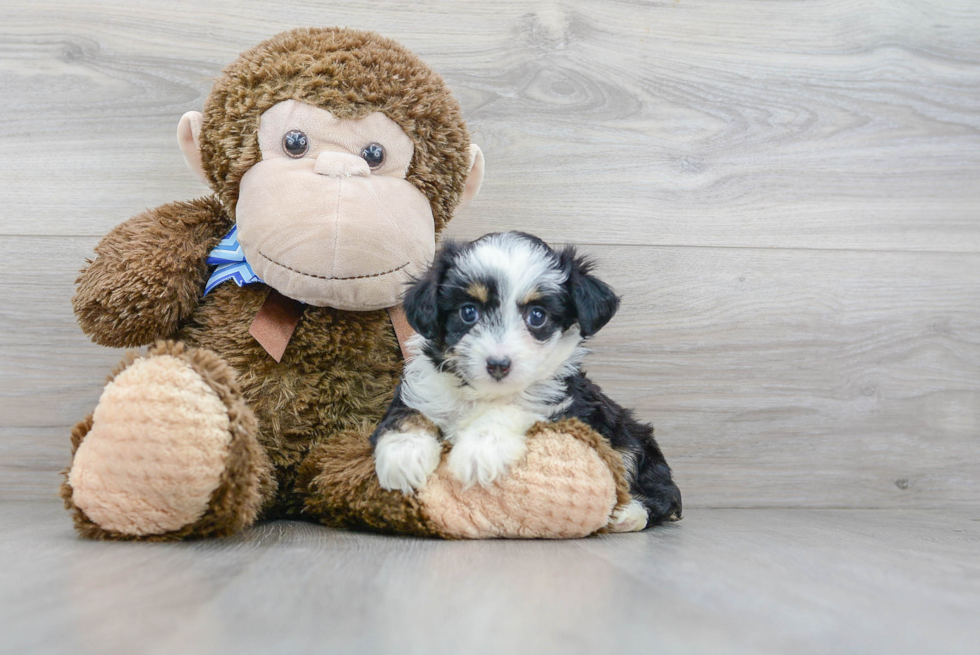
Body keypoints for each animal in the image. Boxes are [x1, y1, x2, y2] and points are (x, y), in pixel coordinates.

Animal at [372, 233, 684, 532]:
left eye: (537, 316)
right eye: (468, 312)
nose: (498, 364)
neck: (484, 393)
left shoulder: (560, 405)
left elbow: (513, 409)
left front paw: (479, 450)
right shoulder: (423, 388)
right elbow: (408, 414)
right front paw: (403, 455)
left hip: (631, 438)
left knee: (660, 493)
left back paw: (627, 515)